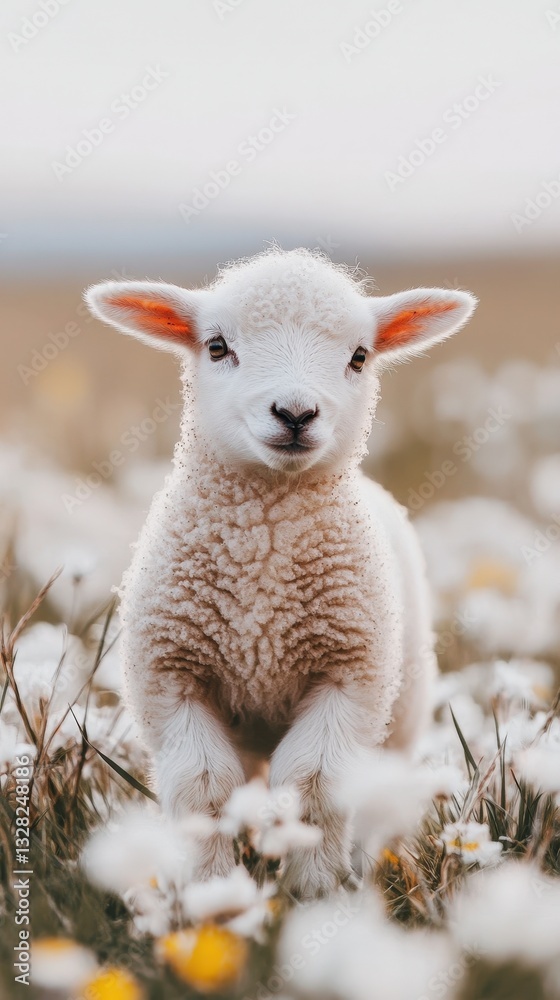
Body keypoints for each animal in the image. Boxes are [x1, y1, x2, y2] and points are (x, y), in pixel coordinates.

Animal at [85, 247, 476, 899]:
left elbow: (313, 782)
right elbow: (203, 786)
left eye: (359, 356)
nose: (295, 413)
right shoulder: (171, 677)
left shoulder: (350, 676)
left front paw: (314, 891)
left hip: (402, 711)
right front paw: (215, 892)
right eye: (217, 346)